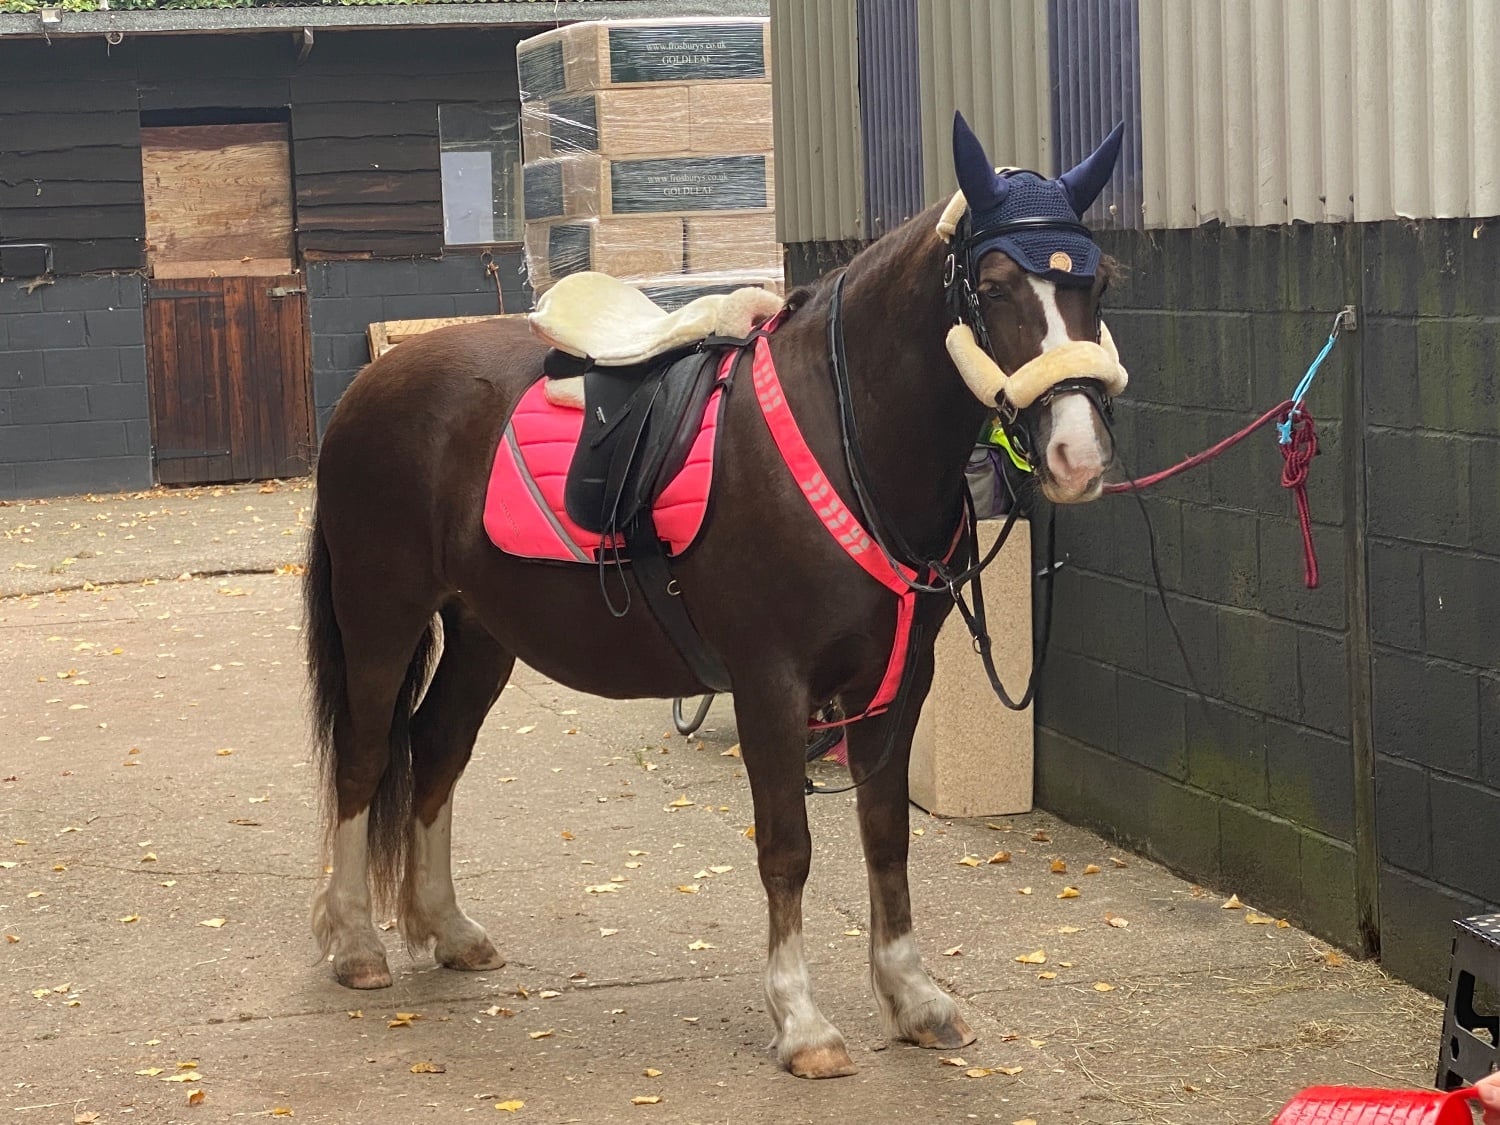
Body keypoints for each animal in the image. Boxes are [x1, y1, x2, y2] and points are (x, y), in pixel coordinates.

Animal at [304, 112, 1130, 1079]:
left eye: (1098, 280)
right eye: (995, 286)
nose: (1078, 455)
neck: (840, 429)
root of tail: (369, 384)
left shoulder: (896, 683)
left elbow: (887, 836)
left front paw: (914, 998)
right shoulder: (772, 684)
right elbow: (788, 848)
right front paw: (802, 1023)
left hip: (481, 634)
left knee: (436, 750)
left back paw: (447, 927)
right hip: (381, 617)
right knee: (365, 759)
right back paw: (356, 942)